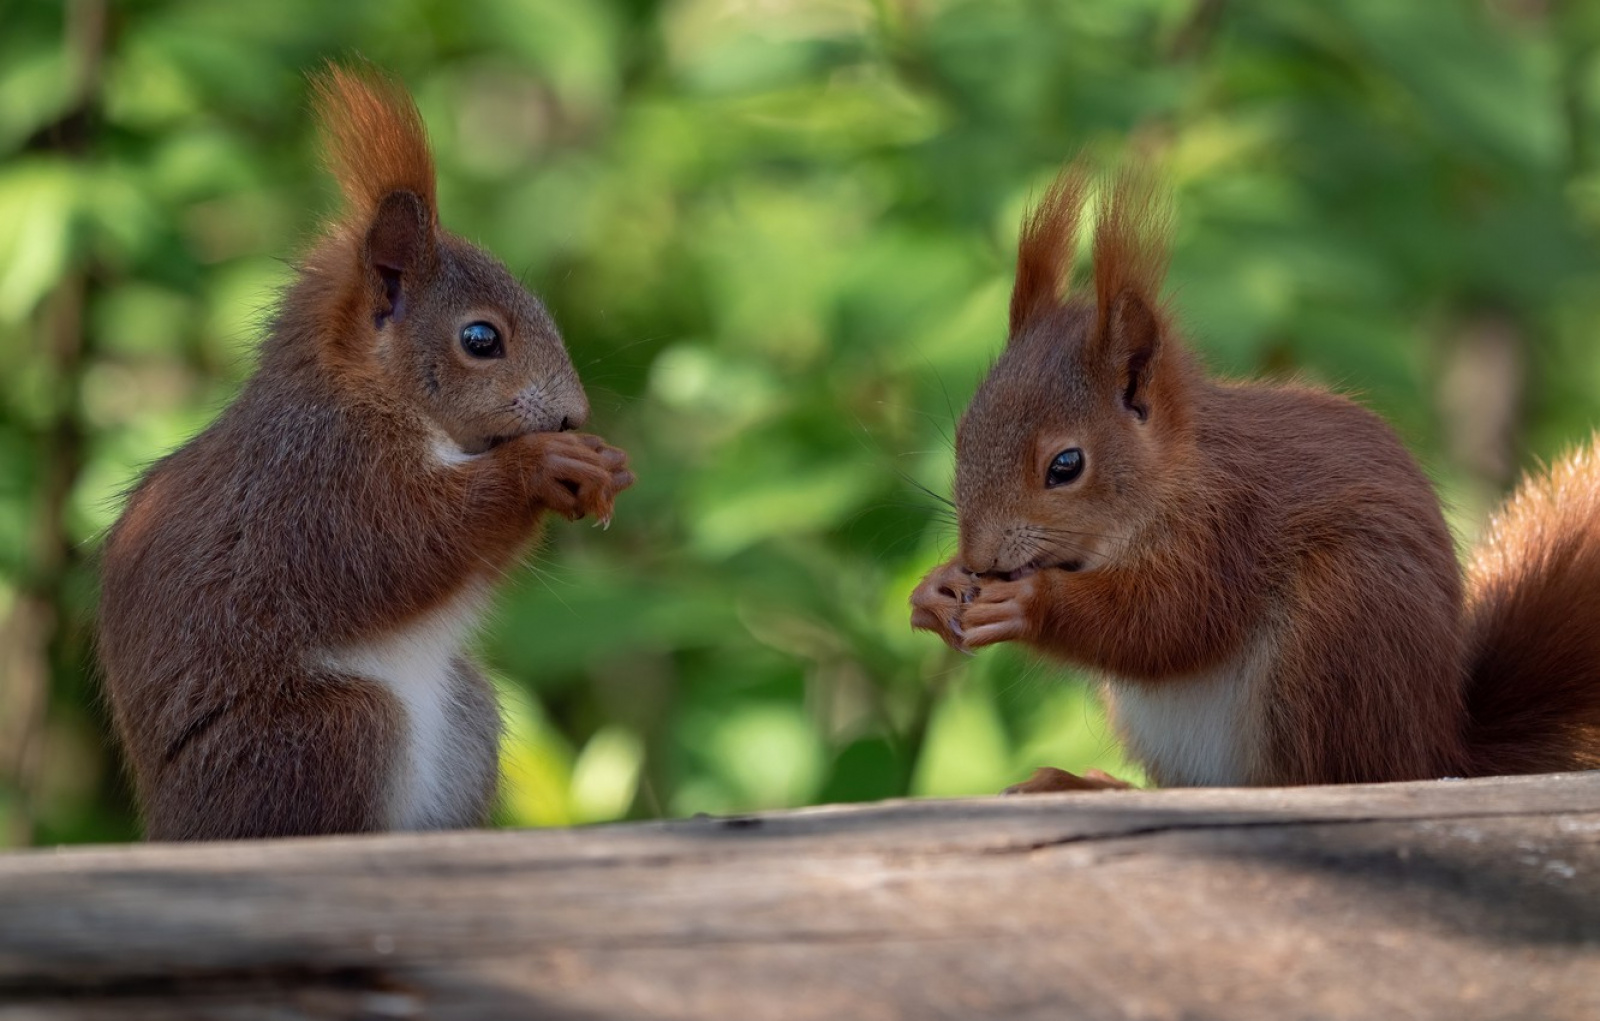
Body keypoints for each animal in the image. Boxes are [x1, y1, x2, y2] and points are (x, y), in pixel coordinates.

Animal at [95, 66, 636, 838]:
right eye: (481, 339)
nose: (574, 414)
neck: (373, 396)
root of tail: (176, 831)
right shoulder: (314, 480)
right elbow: (398, 544)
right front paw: (542, 466)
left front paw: (603, 462)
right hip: (330, 731)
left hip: (468, 716)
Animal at [915, 166, 1600, 793]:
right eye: (963, 434)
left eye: (1066, 465)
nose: (979, 558)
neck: (1173, 475)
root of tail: (1436, 752)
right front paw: (936, 590)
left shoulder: (1225, 528)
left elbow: (1166, 621)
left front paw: (1028, 603)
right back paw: (1089, 785)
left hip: (1337, 631)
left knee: (1323, 775)